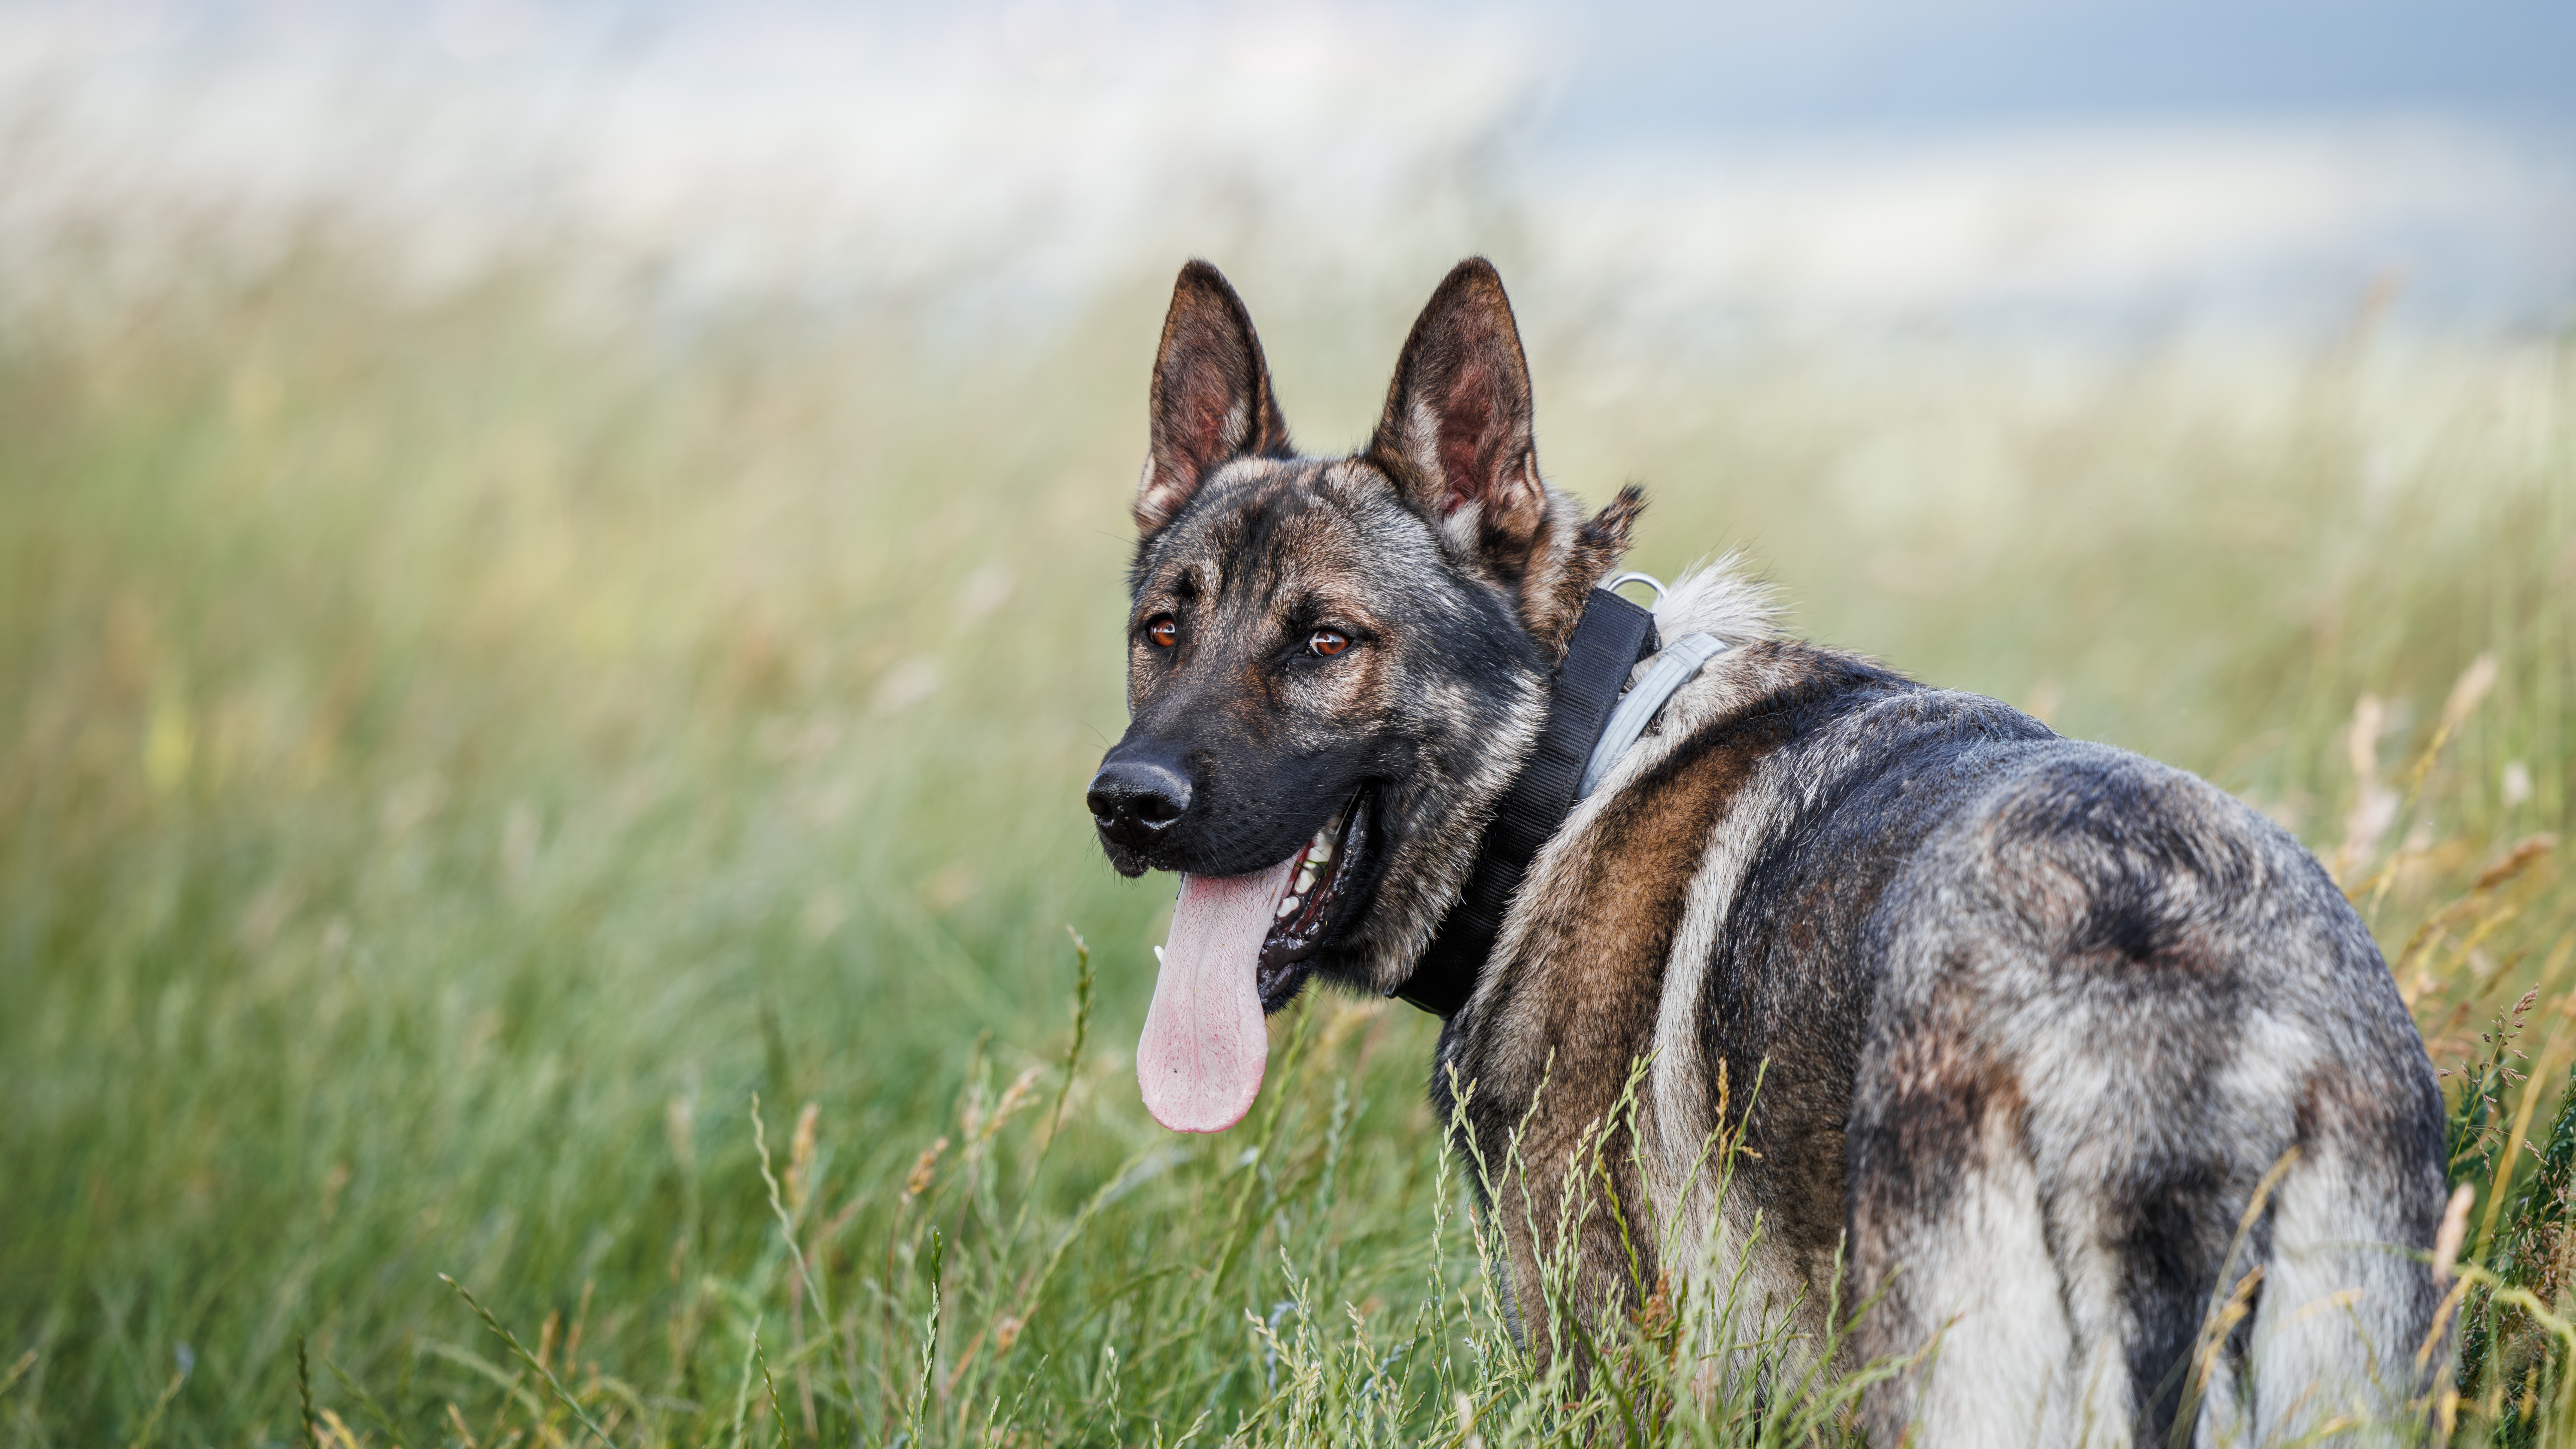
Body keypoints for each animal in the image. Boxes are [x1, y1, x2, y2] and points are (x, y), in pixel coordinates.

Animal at [1077, 256, 2442, 1433]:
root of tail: (2169, 1043)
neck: (1568, 765)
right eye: (1161, 632)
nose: (1128, 802)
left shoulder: (1612, 1383)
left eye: (1327, 643)